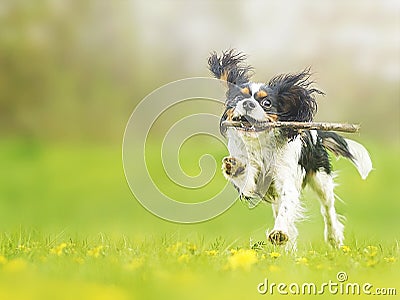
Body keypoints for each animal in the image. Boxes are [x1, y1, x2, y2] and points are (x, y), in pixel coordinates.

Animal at [208, 49, 374, 251]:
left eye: (267, 103)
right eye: (238, 98)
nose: (248, 104)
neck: (261, 143)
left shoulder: (286, 179)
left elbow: (287, 206)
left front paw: (279, 232)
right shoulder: (251, 178)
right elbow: (246, 181)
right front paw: (233, 167)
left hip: (321, 179)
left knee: (328, 209)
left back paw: (333, 238)